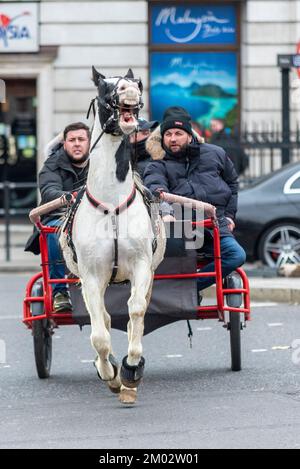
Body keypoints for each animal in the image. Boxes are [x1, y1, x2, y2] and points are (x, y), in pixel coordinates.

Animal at [59, 67, 165, 404]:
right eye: (106, 85)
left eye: (135, 82)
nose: (130, 88)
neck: (111, 205)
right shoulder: (91, 275)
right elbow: (100, 334)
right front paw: (110, 373)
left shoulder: (142, 266)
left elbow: (136, 310)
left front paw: (131, 369)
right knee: (103, 320)